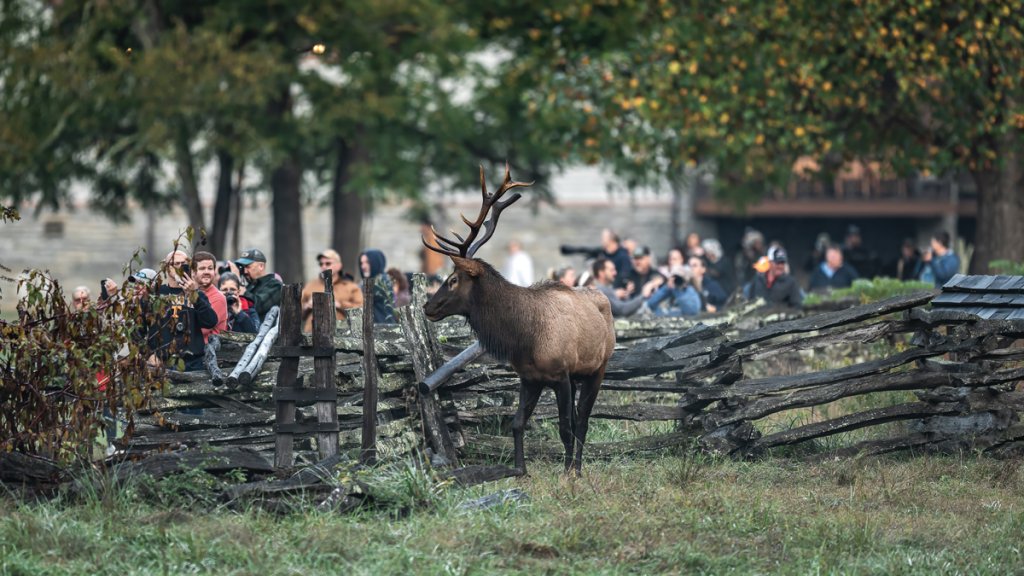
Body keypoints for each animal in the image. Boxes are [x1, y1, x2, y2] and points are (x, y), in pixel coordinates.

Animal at [419, 163, 610, 473]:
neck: (524, 336)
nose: (427, 307)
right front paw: (520, 471)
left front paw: (567, 473)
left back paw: (577, 468)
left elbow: (565, 428)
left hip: (598, 369)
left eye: (453, 279)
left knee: (582, 421)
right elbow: (518, 423)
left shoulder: (561, 375)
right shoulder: (529, 378)